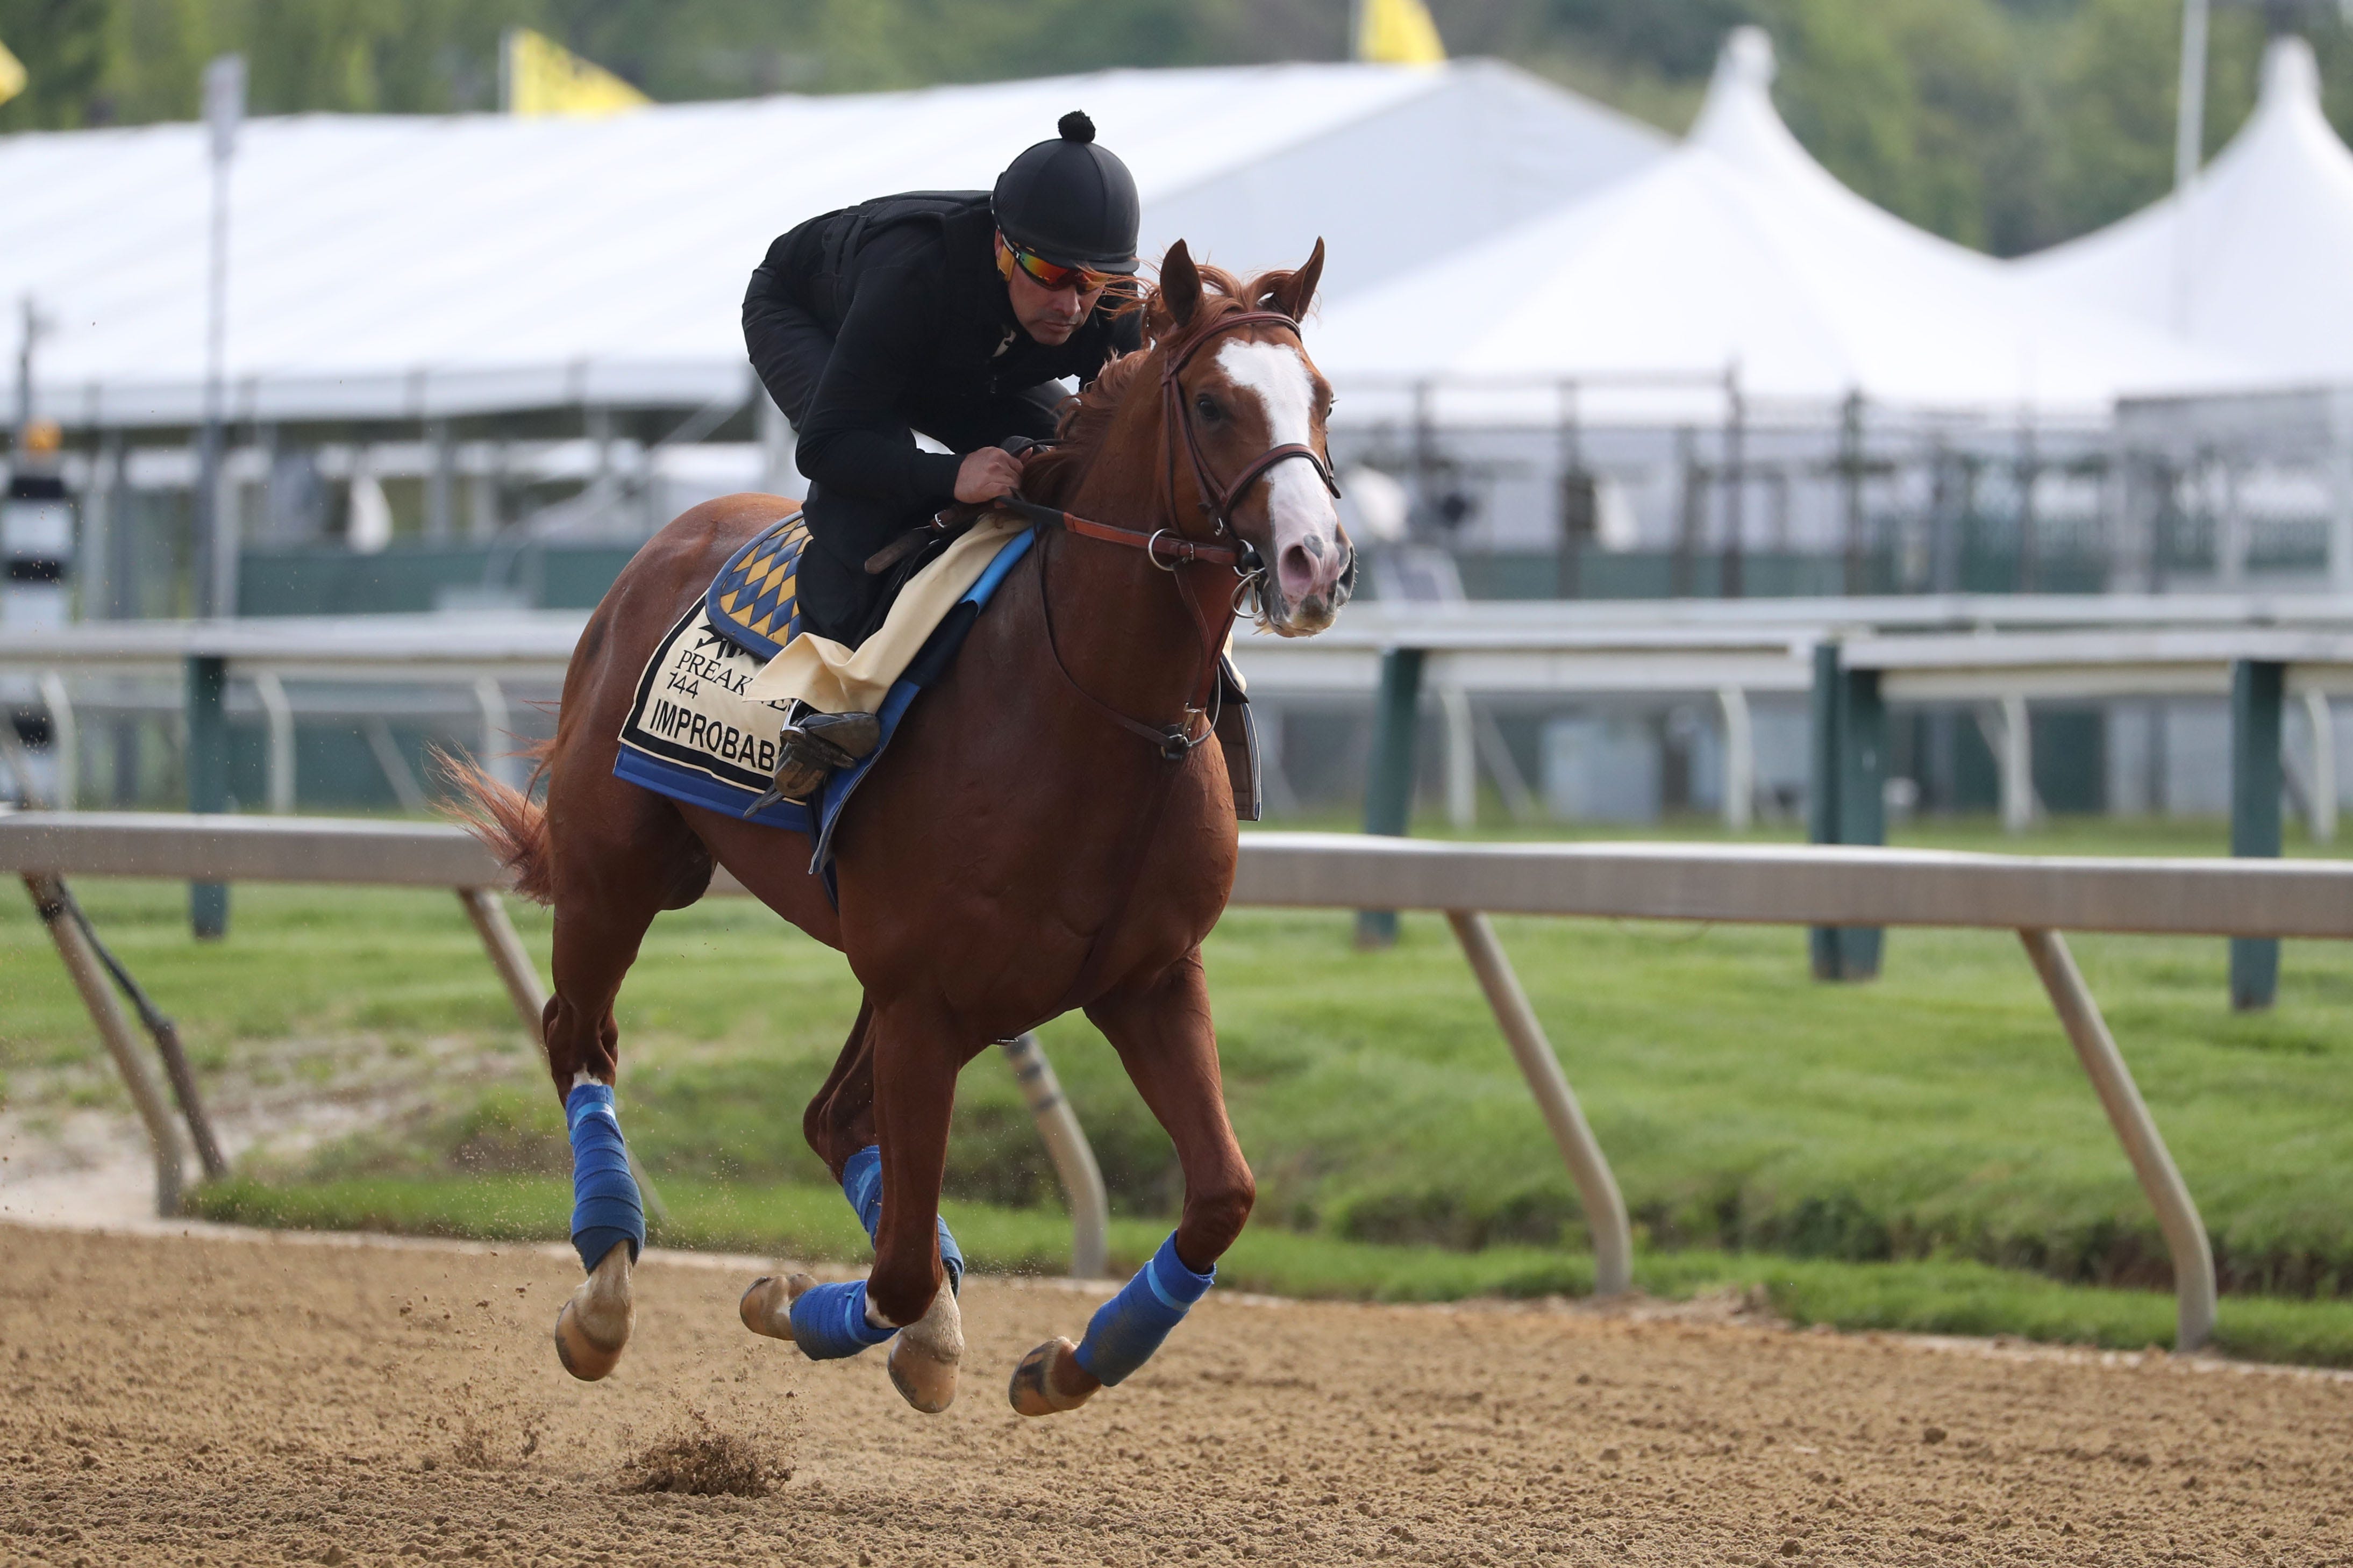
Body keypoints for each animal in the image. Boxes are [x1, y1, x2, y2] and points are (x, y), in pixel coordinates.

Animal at [444, 239, 1354, 1417]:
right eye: (1209, 402)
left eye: (1321, 399)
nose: (1315, 562)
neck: (1095, 703)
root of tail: (670, 538)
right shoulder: (925, 996)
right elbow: (899, 1268)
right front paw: (800, 1304)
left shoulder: (1144, 980)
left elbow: (1220, 1197)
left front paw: (1069, 1361)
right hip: (621, 873)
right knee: (580, 1038)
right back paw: (602, 1294)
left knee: (832, 1118)